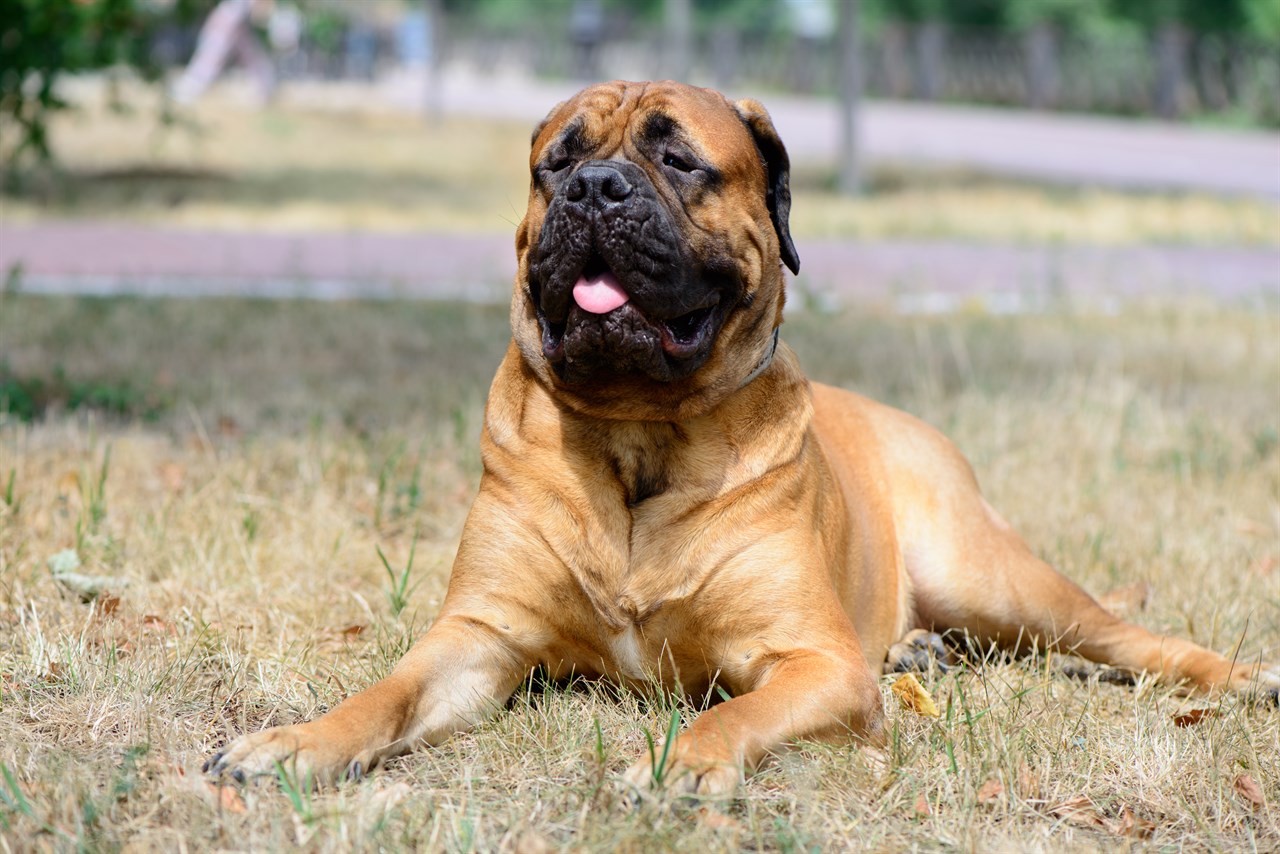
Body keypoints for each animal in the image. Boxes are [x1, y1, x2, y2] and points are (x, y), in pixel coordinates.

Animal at [204, 83, 1274, 798]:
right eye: (557, 161)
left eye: (679, 161)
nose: (594, 189)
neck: (639, 432)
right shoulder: (480, 636)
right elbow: (385, 693)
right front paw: (295, 741)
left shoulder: (816, 663)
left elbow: (738, 709)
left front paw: (681, 764)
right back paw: (922, 654)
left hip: (1001, 578)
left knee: (1128, 638)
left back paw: (1240, 676)